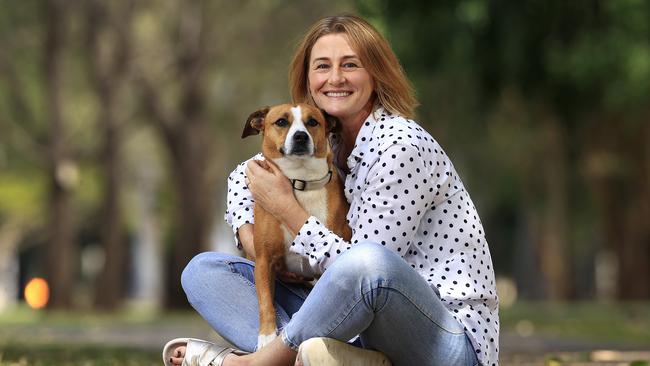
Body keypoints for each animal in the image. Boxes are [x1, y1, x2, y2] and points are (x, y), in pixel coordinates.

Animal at [240, 103, 350, 348]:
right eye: (281, 121)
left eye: (313, 122)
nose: (300, 136)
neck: (301, 183)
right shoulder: (264, 260)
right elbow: (265, 301)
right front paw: (267, 336)